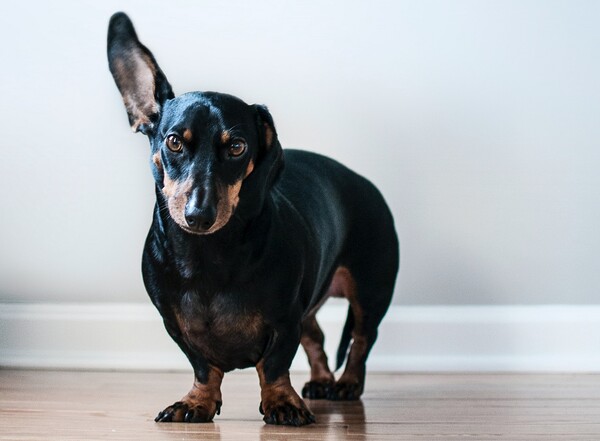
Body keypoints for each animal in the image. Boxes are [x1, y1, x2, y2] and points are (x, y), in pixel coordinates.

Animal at [108, 12, 398, 424]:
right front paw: (197, 402)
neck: (207, 255)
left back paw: (346, 384)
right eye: (174, 141)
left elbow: (274, 364)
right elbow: (204, 367)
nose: (199, 215)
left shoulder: (284, 319)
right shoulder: (176, 326)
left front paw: (282, 402)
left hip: (370, 291)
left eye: (237, 146)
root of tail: (362, 181)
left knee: (360, 340)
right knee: (317, 338)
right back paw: (322, 380)